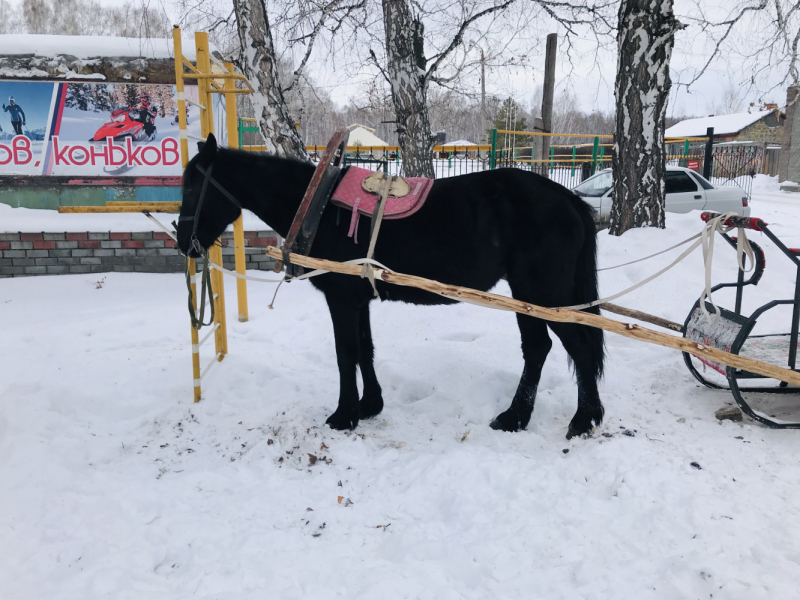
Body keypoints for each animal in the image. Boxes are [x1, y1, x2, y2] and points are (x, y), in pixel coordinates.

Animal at [178, 134, 604, 438]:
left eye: (193, 187)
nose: (183, 242)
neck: (319, 206)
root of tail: (570, 199)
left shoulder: (341, 298)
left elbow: (345, 352)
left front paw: (344, 414)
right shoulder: (359, 298)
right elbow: (365, 349)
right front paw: (370, 405)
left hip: (542, 293)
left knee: (575, 348)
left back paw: (581, 420)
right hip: (528, 295)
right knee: (539, 349)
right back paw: (520, 417)